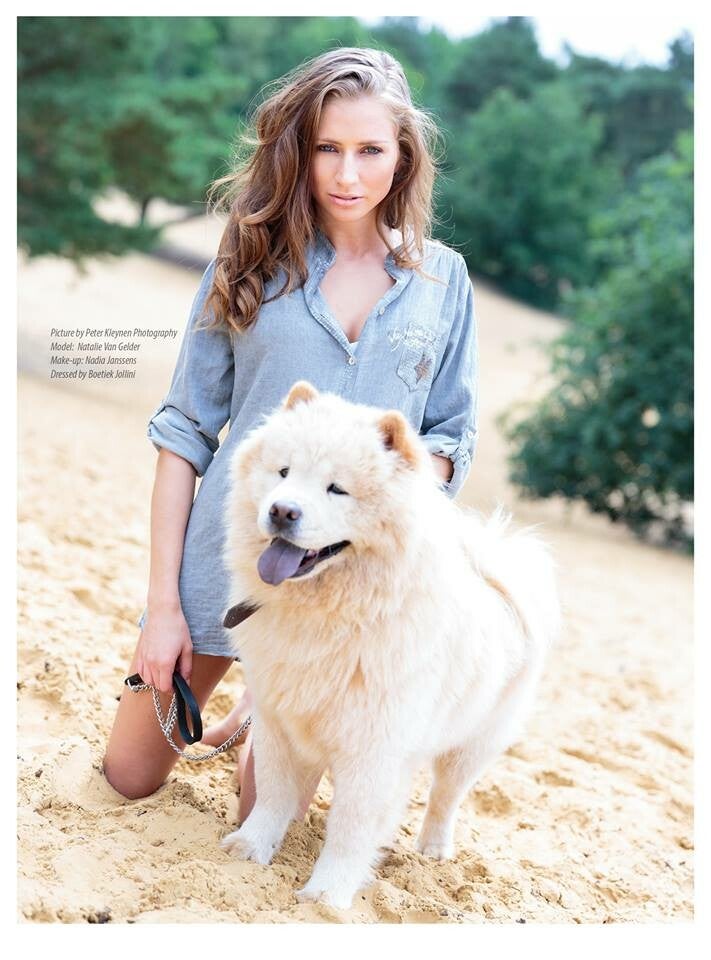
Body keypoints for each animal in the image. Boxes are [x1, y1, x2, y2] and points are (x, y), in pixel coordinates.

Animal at [220, 381, 560, 909]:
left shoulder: (373, 747)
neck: (332, 616)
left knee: (445, 798)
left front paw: (327, 895)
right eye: (284, 472)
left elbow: (350, 826)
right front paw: (252, 847)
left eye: (337, 488)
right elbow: (272, 792)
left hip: (472, 745)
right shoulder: (278, 720)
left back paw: (435, 850)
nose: (281, 510)